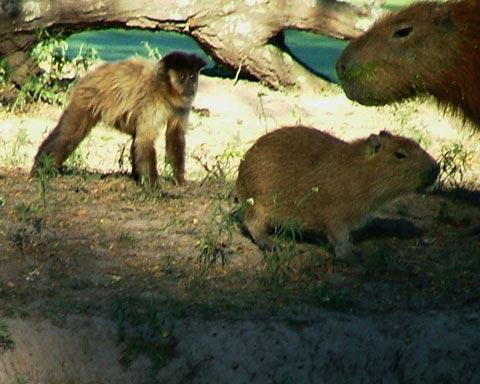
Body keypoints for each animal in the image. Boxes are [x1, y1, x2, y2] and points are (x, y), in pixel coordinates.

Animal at [31, 50, 207, 186]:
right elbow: (145, 142)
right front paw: (153, 189)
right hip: (87, 97)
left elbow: (174, 135)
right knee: (69, 135)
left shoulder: (182, 105)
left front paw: (179, 180)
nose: (190, 86)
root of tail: (91, 75)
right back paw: (39, 169)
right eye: (182, 77)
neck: (165, 89)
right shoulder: (152, 101)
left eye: (192, 76)